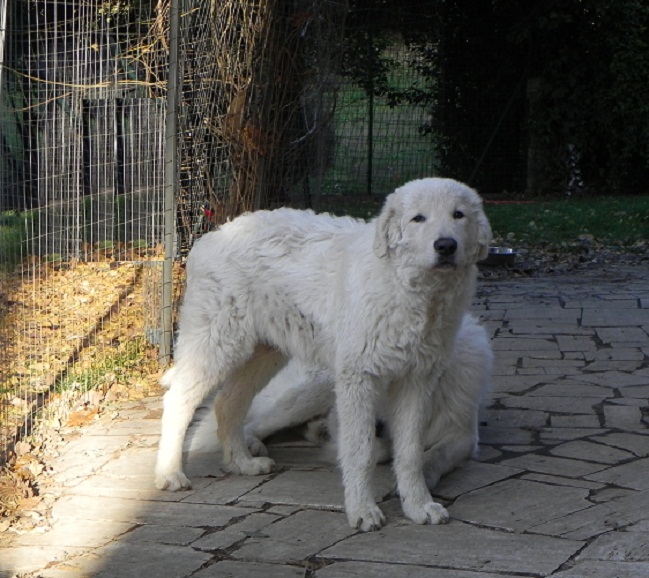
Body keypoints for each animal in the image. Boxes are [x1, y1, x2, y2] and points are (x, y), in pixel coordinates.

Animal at [155, 177, 492, 531]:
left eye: (458, 215)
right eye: (418, 218)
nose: (445, 246)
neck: (405, 286)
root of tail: (211, 236)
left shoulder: (416, 382)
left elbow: (411, 453)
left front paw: (419, 506)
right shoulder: (358, 379)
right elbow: (360, 451)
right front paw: (362, 511)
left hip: (264, 354)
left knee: (227, 402)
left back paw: (242, 463)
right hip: (218, 344)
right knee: (179, 400)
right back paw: (170, 473)